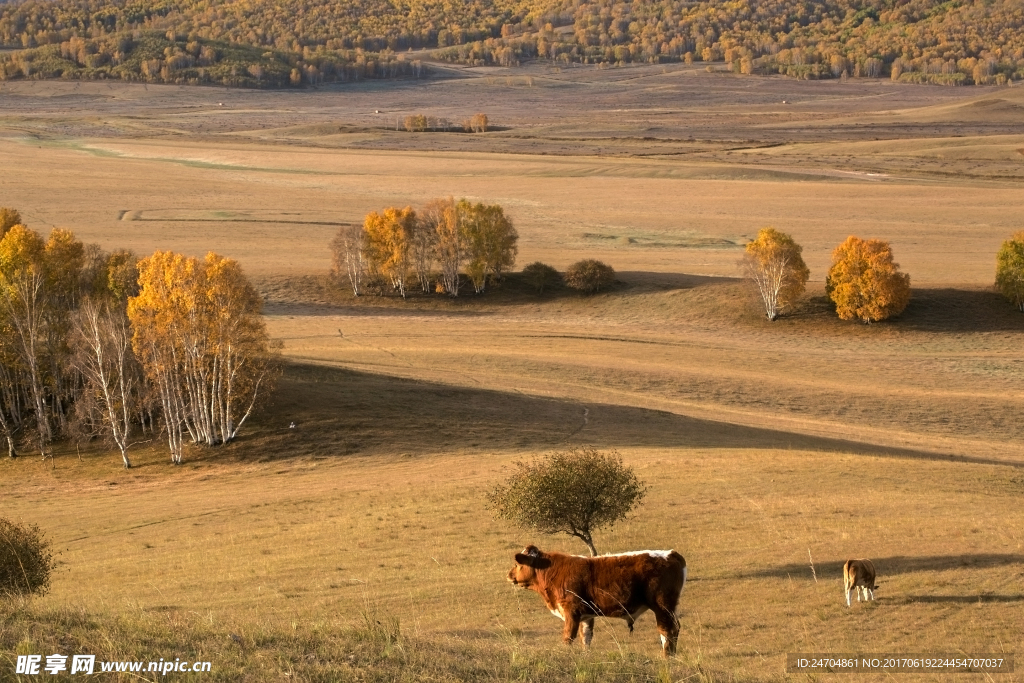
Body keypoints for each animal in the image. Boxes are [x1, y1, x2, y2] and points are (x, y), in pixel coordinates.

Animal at [505, 544, 684, 655]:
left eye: (517, 564)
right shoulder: (585, 616)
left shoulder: (571, 612)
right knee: (674, 630)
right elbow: (586, 638)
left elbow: (568, 637)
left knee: (667, 632)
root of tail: (671, 553)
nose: (509, 574)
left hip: (662, 606)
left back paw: (667, 658)